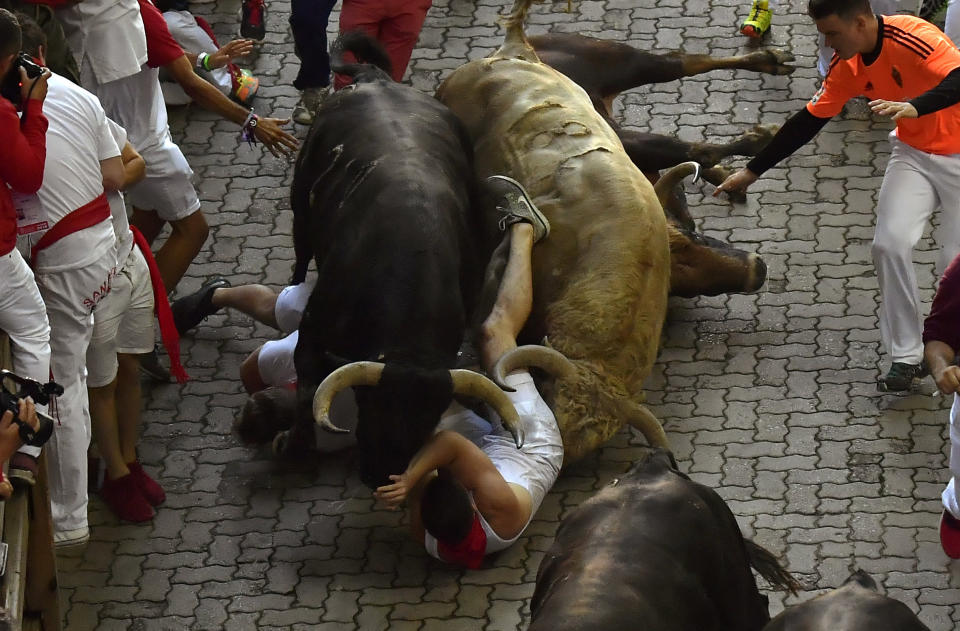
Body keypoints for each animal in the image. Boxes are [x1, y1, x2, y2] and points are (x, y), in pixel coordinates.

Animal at [278, 63, 488, 488]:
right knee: (301, 251)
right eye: (372, 403)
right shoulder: (315, 327)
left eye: (430, 418)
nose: (382, 474)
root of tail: (374, 78)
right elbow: (306, 385)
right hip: (300, 205)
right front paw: (295, 451)